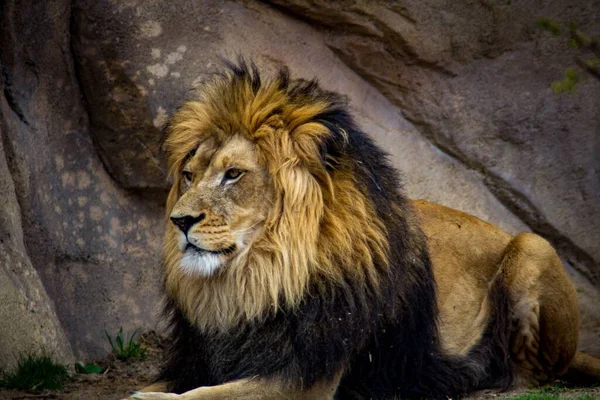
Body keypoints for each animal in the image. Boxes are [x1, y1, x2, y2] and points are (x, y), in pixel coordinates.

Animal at [130, 61, 600, 398]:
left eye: (233, 174)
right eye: (188, 176)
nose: (179, 221)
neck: (254, 280)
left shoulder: (303, 379)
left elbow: (205, 396)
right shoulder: (196, 362)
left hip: (532, 245)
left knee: (536, 373)